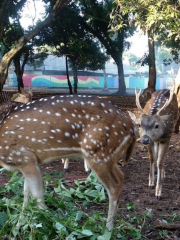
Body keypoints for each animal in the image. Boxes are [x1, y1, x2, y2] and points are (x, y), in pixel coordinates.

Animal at [0, 94, 137, 230]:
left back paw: (108, 228)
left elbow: (37, 197)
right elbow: (26, 194)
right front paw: (18, 224)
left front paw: (50, 224)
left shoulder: (25, 156)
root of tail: (132, 126)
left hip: (98, 153)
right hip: (108, 156)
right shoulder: (26, 162)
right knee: (121, 176)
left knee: (114, 186)